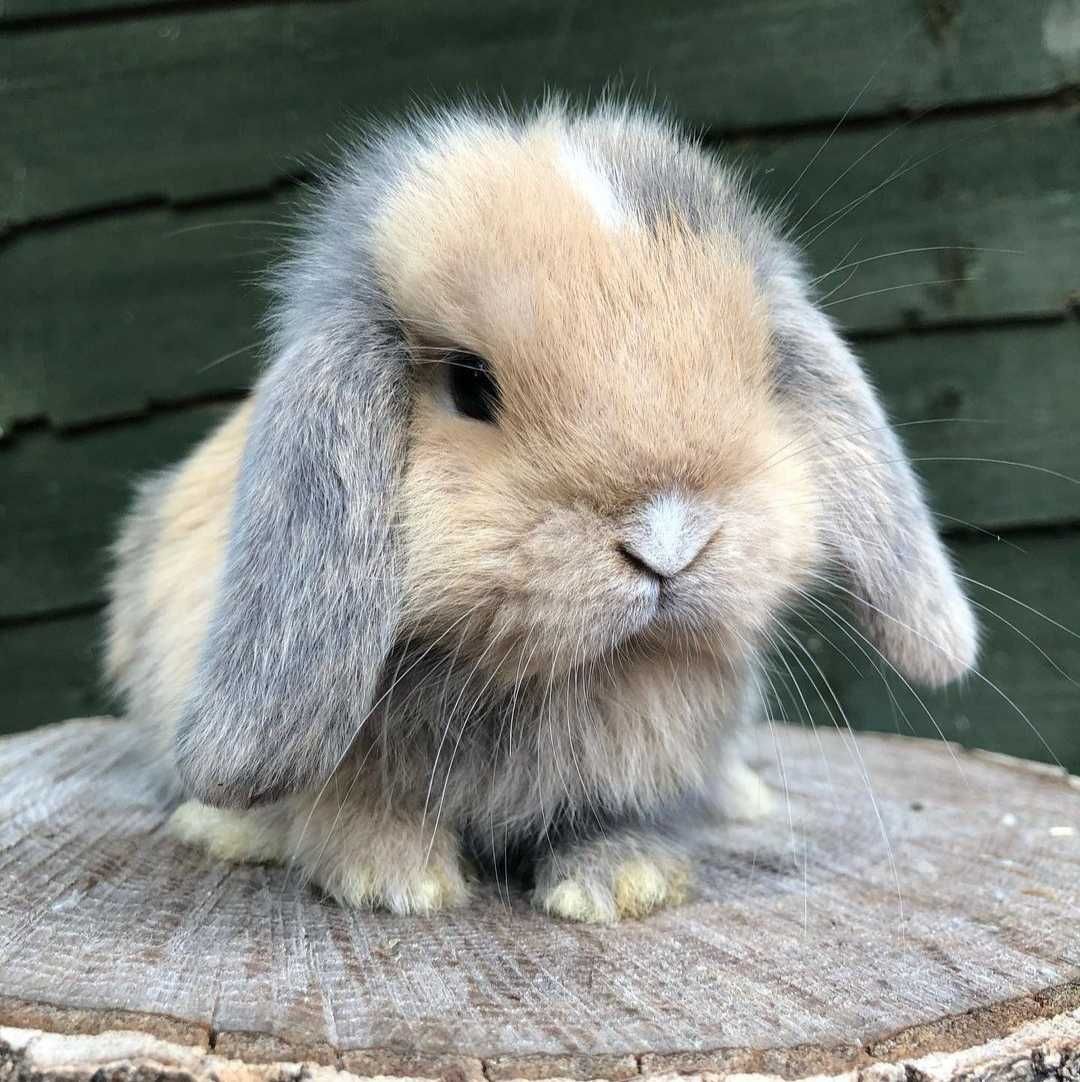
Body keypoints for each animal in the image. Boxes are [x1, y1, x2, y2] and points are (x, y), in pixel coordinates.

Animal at [103, 101, 982, 921]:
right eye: (469, 385)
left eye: (760, 372)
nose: (668, 541)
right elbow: (345, 810)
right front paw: (393, 881)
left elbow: (599, 818)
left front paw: (624, 883)